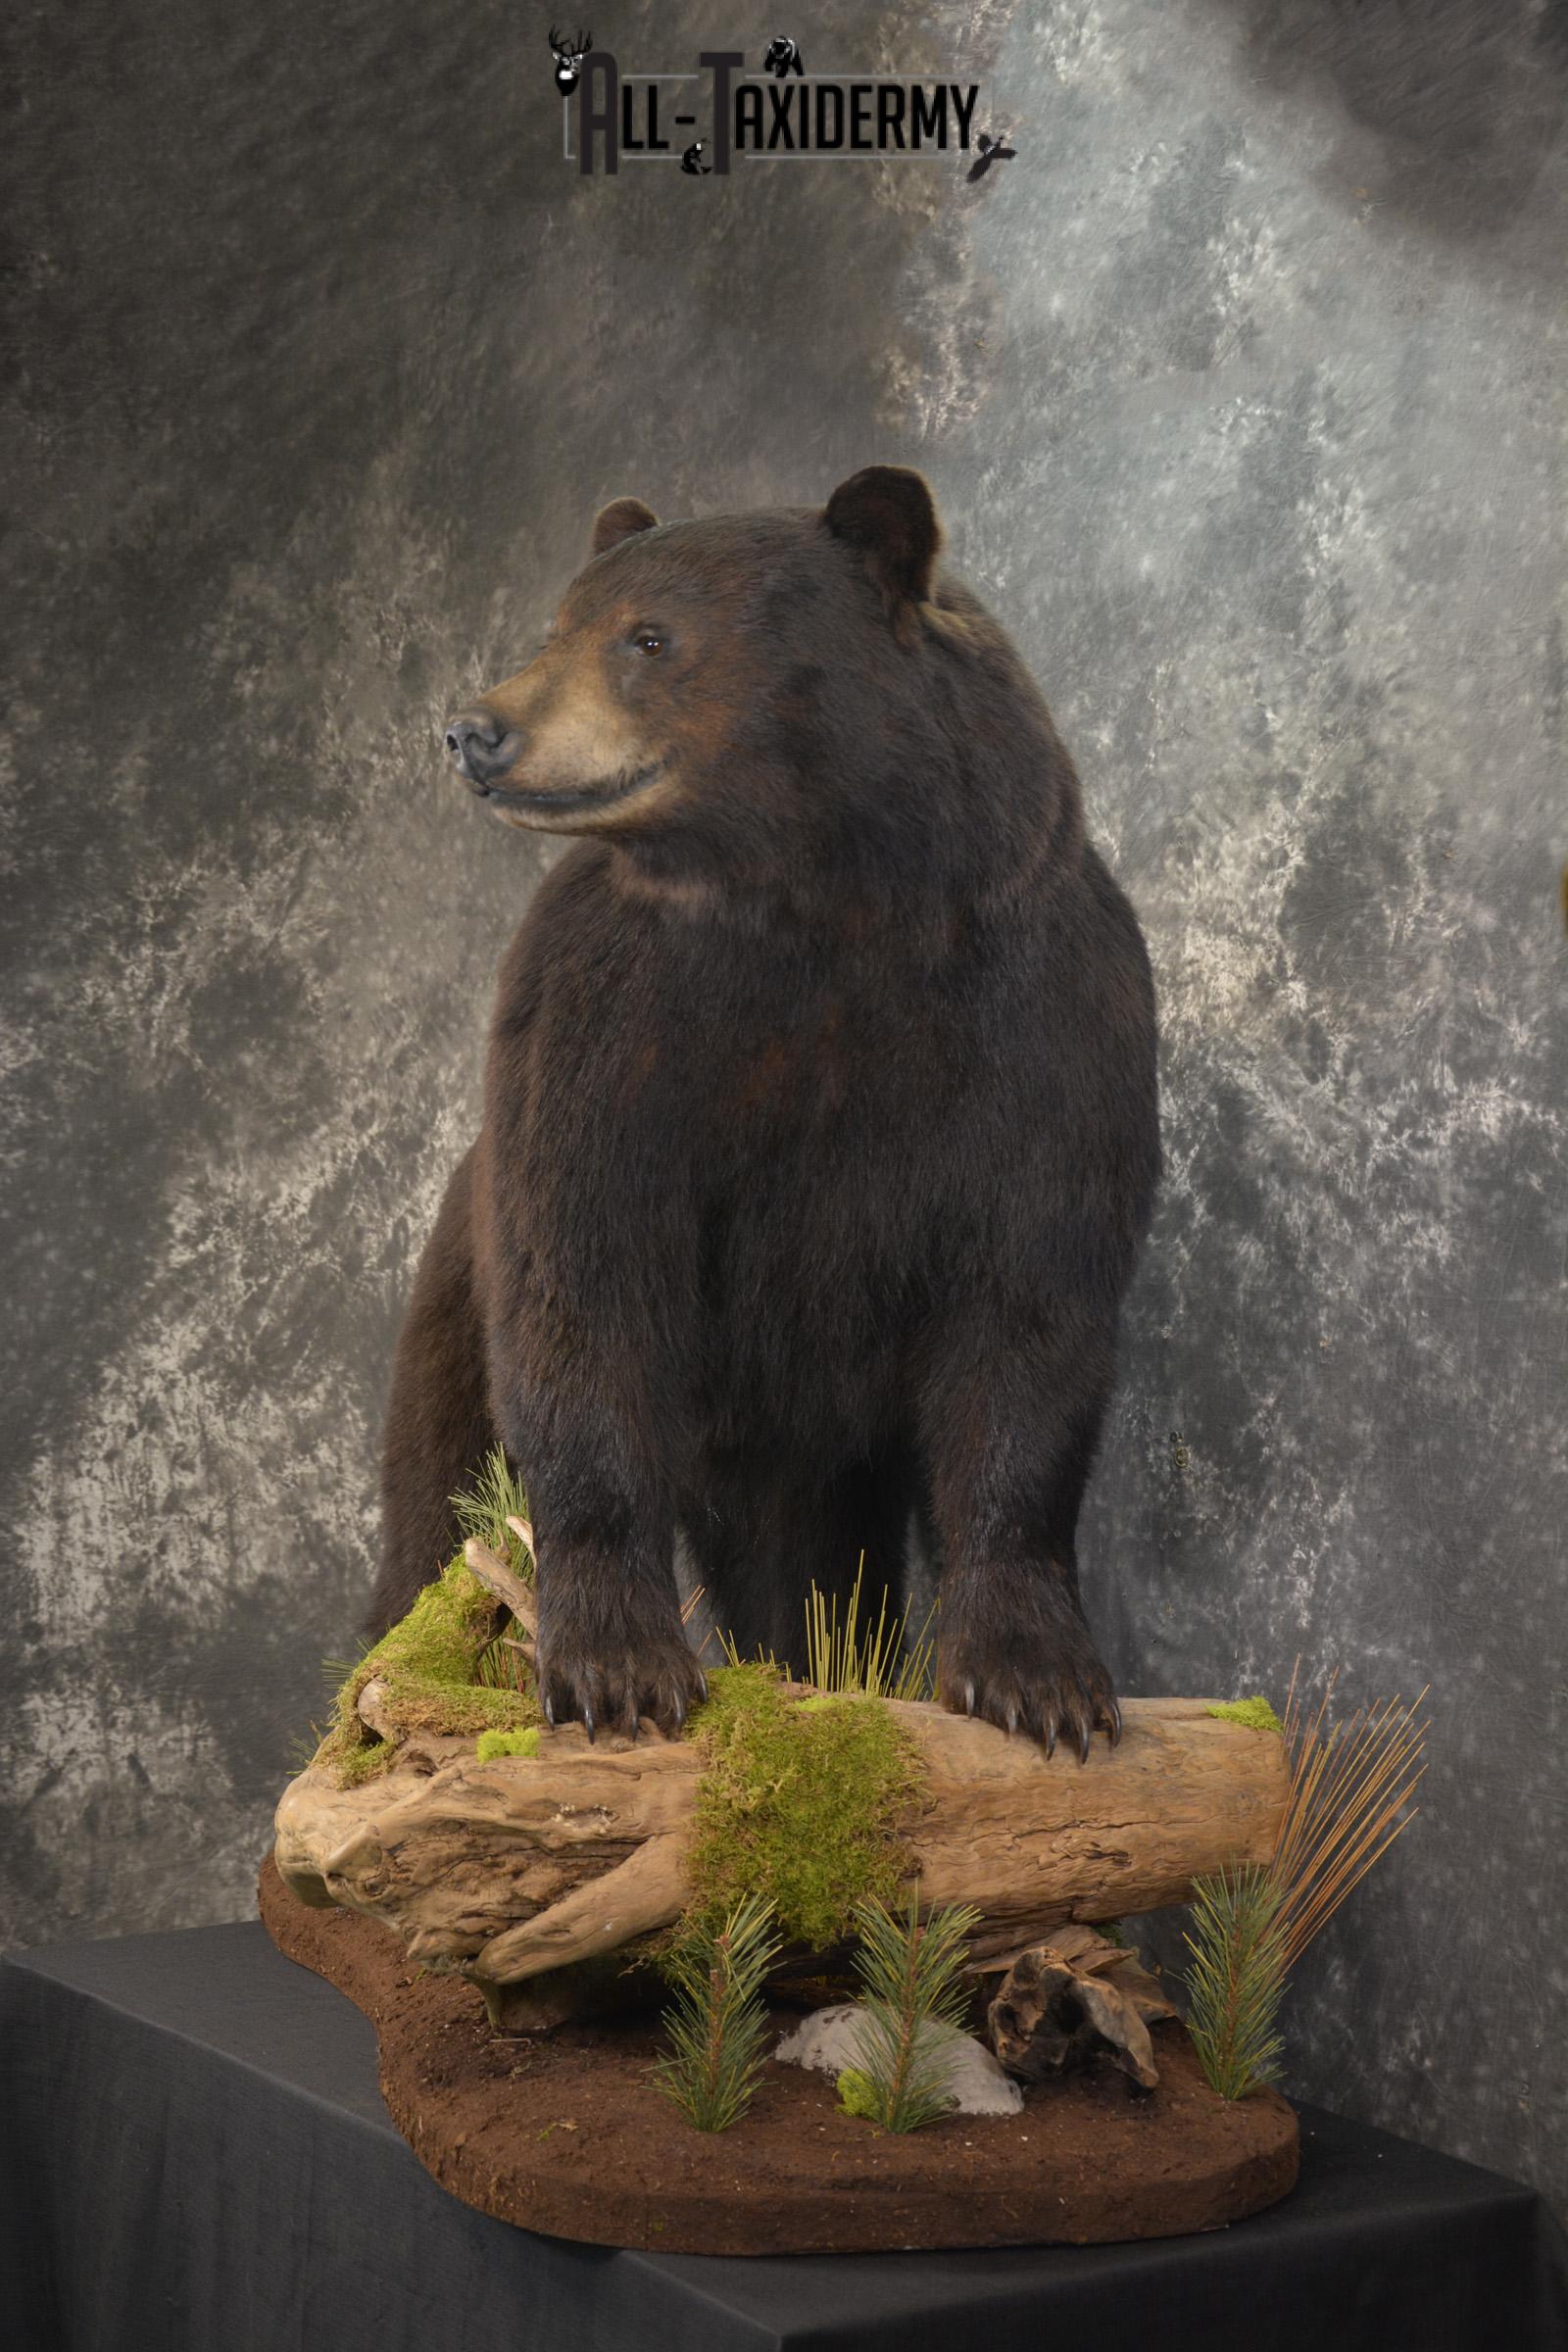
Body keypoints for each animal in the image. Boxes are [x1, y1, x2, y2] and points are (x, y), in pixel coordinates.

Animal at [368, 466, 1161, 1758]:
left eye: (648, 637)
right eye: (559, 624)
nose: (476, 730)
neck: (821, 900)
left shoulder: (1044, 1015)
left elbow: (1030, 1315)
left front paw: (1038, 1681)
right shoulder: (612, 1020)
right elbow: (583, 1284)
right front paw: (617, 1665)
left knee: (814, 1561)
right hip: (457, 1313)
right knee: (437, 1500)